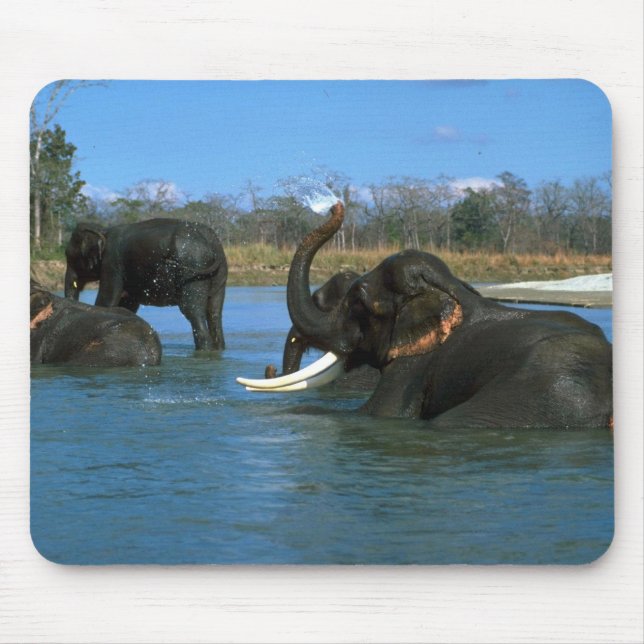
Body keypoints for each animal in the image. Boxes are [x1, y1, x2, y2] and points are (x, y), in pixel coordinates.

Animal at [64, 218, 227, 351]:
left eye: (69, 257)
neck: (104, 230)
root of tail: (213, 243)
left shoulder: (111, 264)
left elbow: (106, 302)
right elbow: (126, 306)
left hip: (193, 267)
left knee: (192, 311)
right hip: (219, 274)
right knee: (214, 312)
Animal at [238, 202, 613, 430]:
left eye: (357, 303)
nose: (335, 205)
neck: (453, 291)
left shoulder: (413, 366)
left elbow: (381, 415)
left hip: (542, 395)